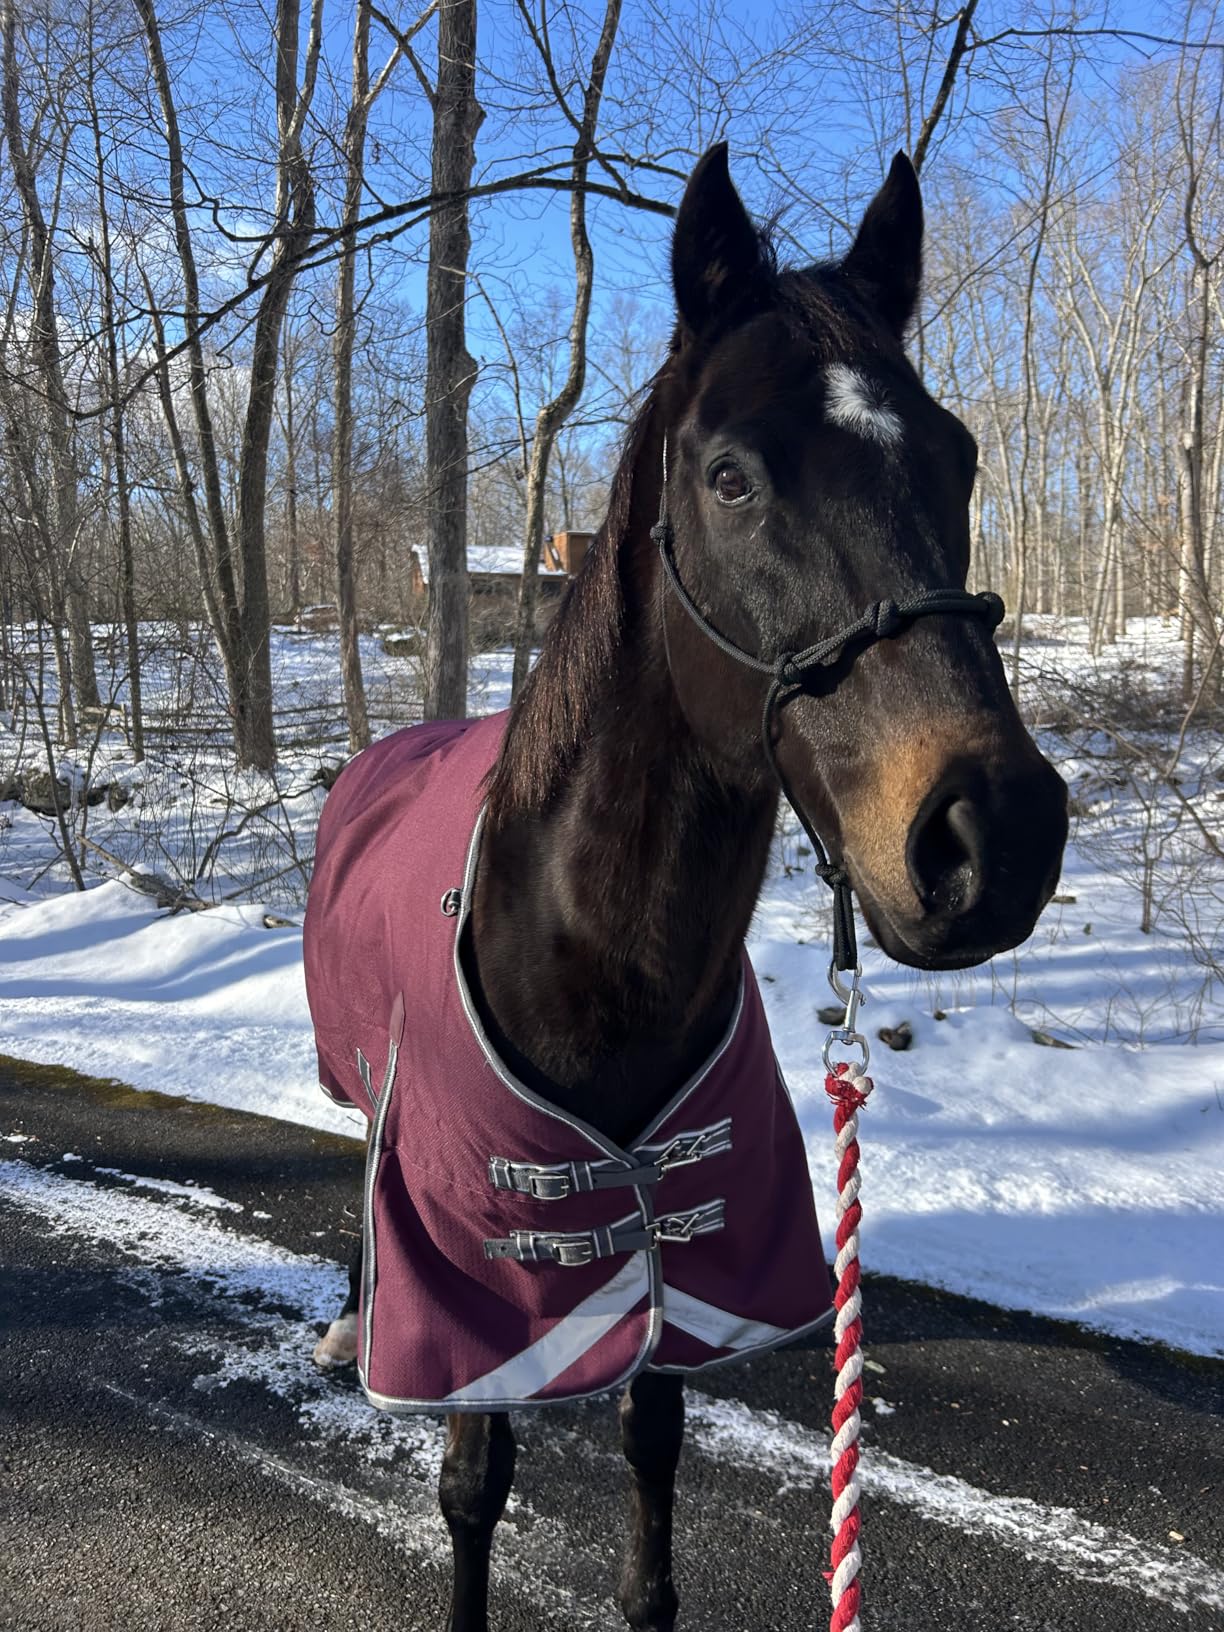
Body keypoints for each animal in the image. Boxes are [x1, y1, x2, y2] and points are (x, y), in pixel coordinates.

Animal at [303, 144, 1068, 1632]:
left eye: (957, 455)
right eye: (729, 476)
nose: (994, 835)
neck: (589, 954)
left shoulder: (674, 1256)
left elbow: (651, 1465)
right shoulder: (482, 1285)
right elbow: (472, 1491)